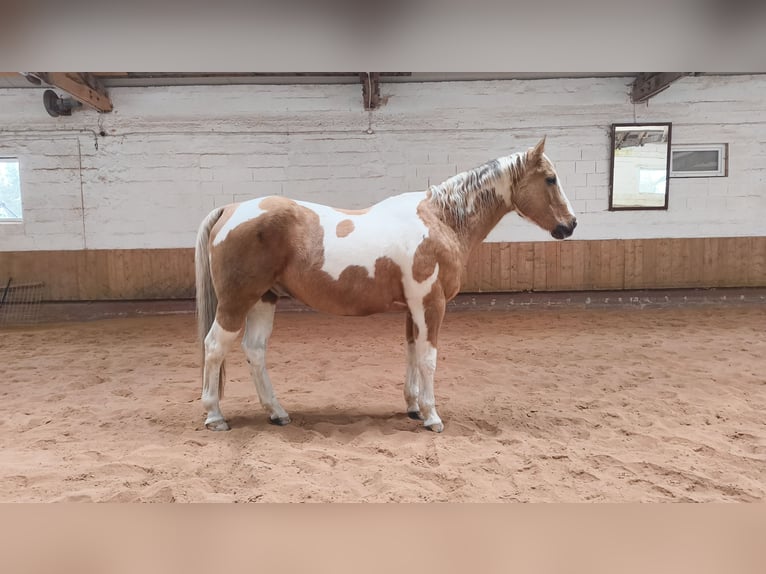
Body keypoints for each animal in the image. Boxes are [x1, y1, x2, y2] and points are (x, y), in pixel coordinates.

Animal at [195, 140, 580, 434]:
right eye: (550, 179)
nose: (571, 224)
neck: (440, 221)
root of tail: (231, 209)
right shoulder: (431, 304)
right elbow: (428, 358)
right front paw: (432, 417)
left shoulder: (414, 308)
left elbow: (412, 352)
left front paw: (414, 408)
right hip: (236, 301)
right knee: (214, 347)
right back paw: (215, 416)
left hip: (265, 298)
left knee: (255, 351)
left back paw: (277, 413)